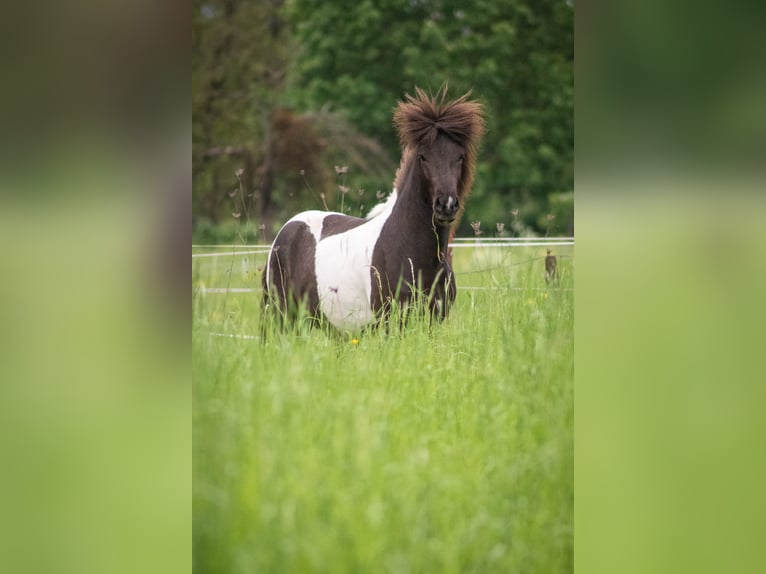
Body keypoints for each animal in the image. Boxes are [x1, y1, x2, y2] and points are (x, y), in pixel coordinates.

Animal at [260, 88, 484, 336]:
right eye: (423, 157)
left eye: (460, 156)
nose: (446, 205)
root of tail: (285, 232)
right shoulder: (389, 323)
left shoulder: (433, 321)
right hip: (283, 319)